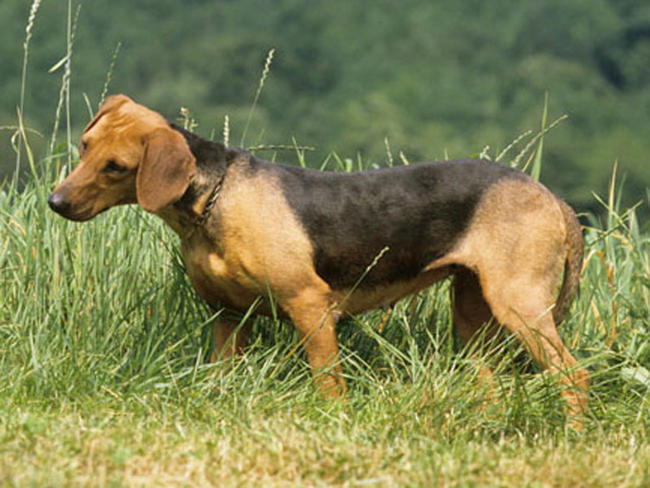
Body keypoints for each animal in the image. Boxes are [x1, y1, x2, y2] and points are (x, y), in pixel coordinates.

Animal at [49, 94, 588, 420]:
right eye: (84, 145)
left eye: (116, 167)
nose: (55, 202)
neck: (216, 198)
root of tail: (551, 197)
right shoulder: (228, 316)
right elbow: (223, 373)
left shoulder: (310, 308)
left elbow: (328, 383)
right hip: (473, 312)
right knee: (490, 380)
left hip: (520, 304)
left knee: (573, 374)